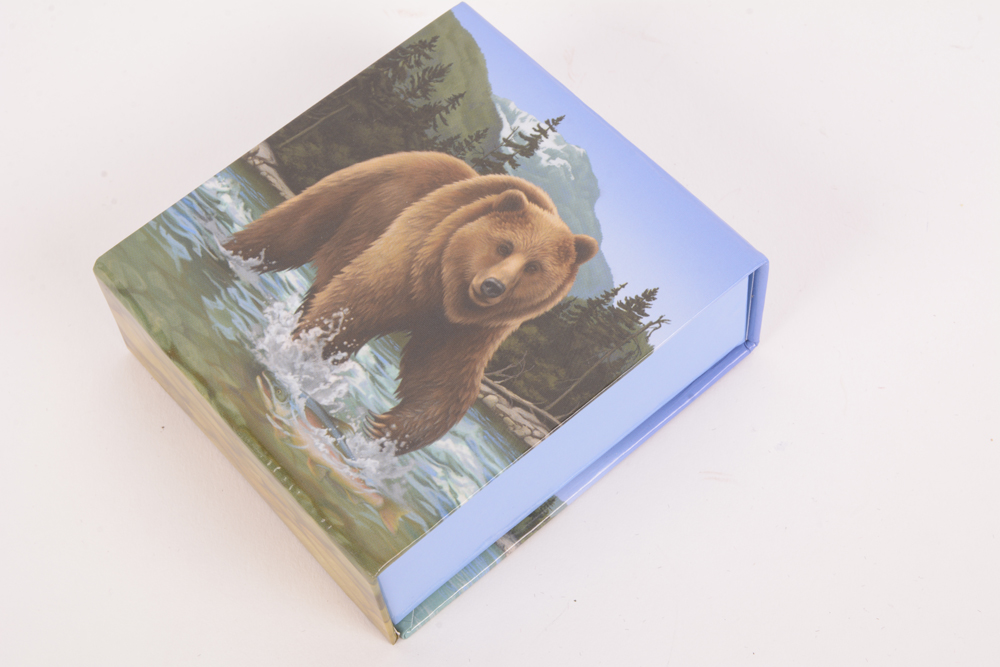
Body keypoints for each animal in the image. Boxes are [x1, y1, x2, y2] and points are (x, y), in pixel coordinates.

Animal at [225, 151, 599, 455]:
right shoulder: (413, 258)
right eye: (504, 246)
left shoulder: (474, 328)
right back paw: (233, 252)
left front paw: (386, 431)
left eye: (534, 267)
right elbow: (352, 306)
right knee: (287, 233)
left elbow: (443, 377)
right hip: (359, 197)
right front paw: (302, 361)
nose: (493, 286)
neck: (445, 290)